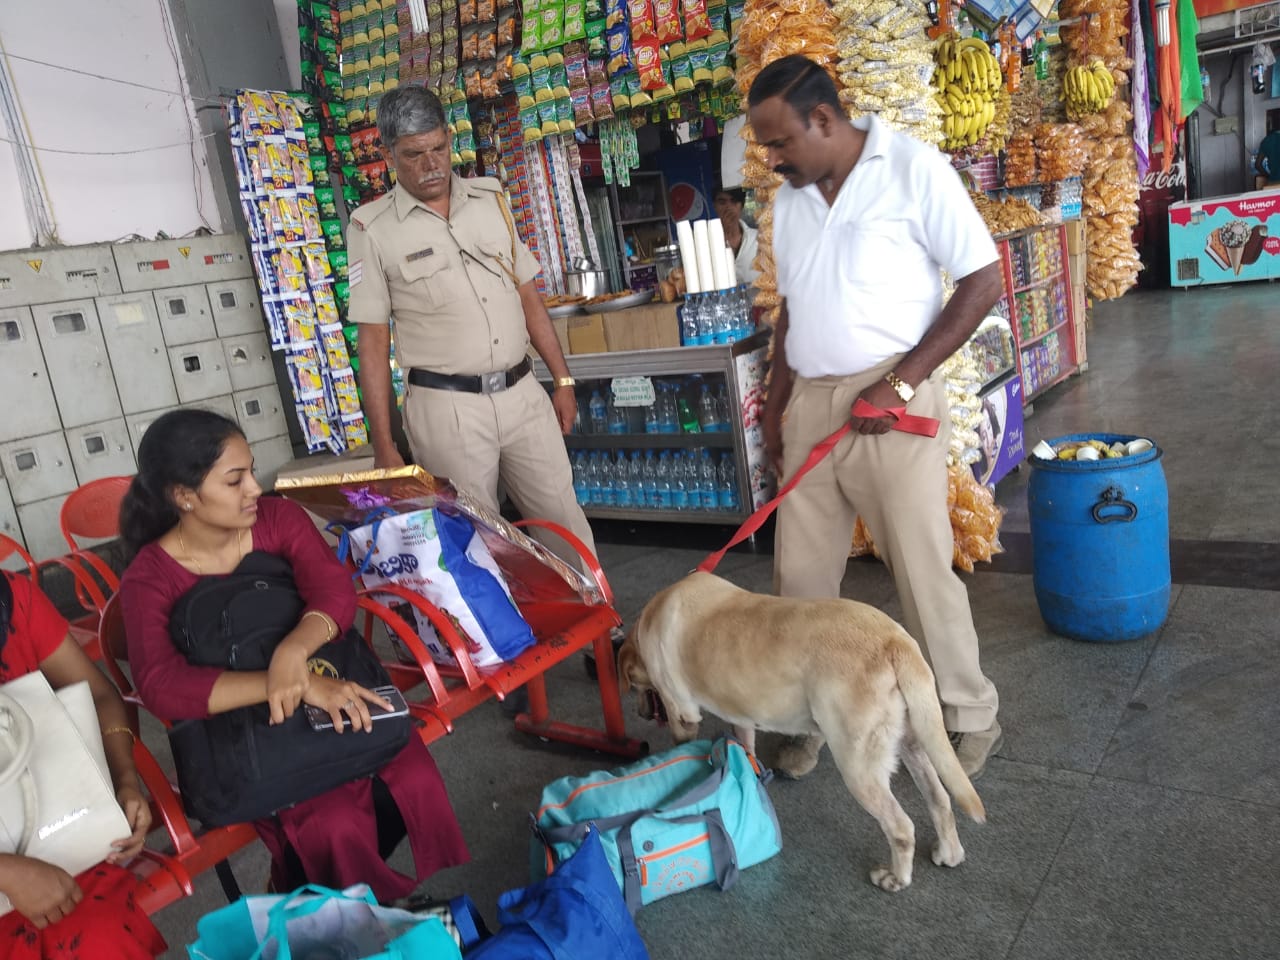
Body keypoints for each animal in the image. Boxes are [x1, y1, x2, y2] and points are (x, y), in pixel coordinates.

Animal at [619, 570, 988, 896]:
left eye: (635, 686)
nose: (639, 712)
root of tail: (895, 641)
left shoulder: (681, 711)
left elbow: (684, 742)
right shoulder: (743, 714)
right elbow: (746, 746)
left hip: (858, 765)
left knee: (900, 827)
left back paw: (896, 878)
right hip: (913, 741)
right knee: (940, 799)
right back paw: (949, 853)